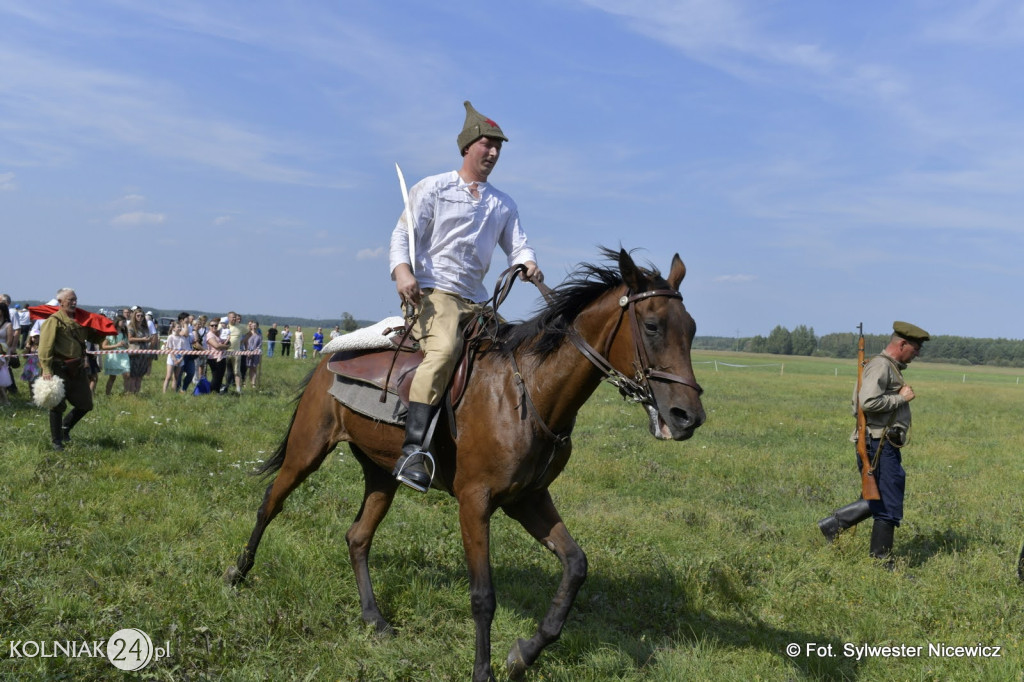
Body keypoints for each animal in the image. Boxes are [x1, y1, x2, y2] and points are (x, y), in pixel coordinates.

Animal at [224, 248, 704, 679]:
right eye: (652, 325)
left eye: (693, 329)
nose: (688, 417)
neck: (527, 391)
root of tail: (329, 356)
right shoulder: (475, 503)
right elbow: (483, 595)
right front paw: (483, 670)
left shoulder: (528, 499)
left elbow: (575, 566)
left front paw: (523, 654)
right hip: (308, 450)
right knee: (270, 502)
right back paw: (236, 573)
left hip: (382, 474)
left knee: (357, 537)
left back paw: (374, 619)